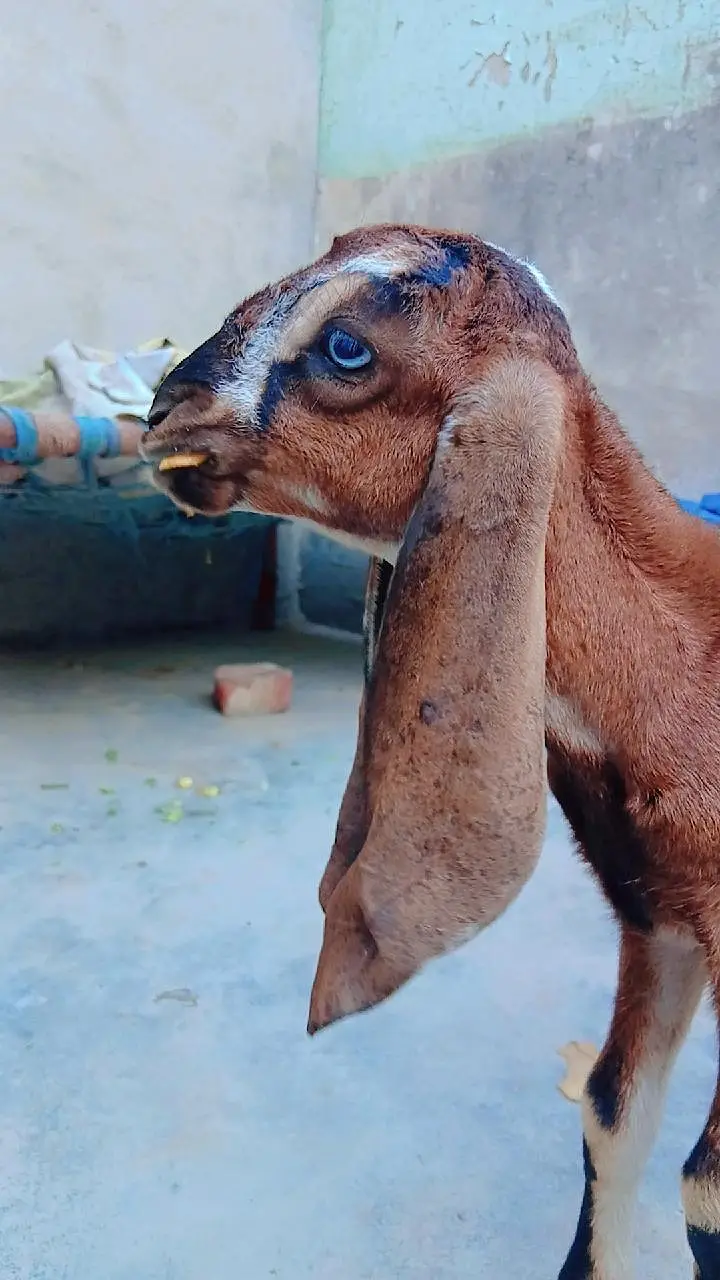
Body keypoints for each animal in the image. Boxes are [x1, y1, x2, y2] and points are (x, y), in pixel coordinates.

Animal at [142, 223, 720, 1279]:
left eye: (347, 347)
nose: (163, 412)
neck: (687, 657)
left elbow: (706, 1188)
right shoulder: (657, 920)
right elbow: (614, 1113)